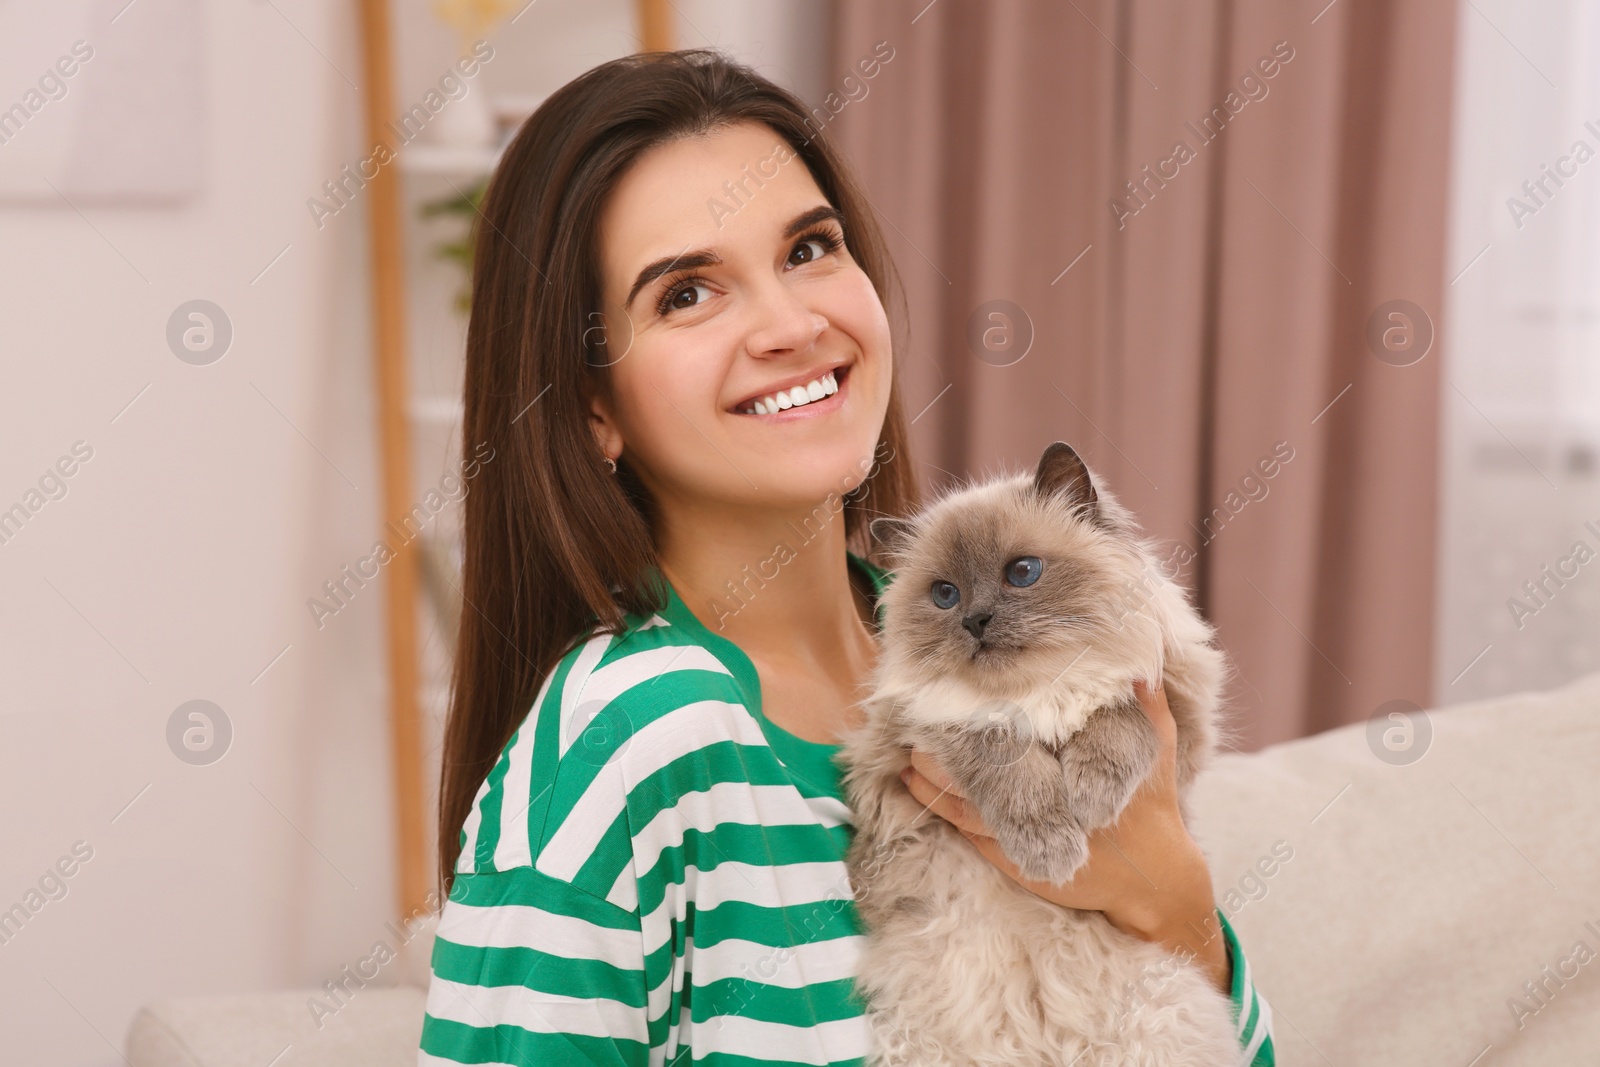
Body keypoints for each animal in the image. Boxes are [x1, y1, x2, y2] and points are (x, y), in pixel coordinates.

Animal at [844, 441, 1241, 1067]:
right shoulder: (924, 728)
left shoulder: (1170, 705)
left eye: (1022, 572)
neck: (1041, 690)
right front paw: (1052, 851)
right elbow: (1007, 759)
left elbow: (1113, 718)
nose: (975, 620)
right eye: (945, 595)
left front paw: (1092, 798)